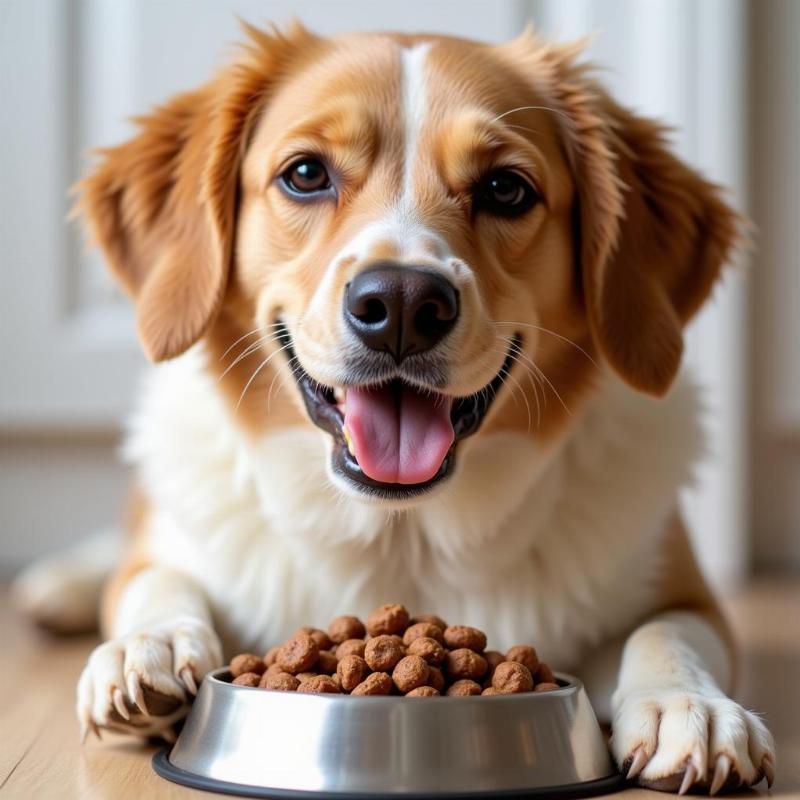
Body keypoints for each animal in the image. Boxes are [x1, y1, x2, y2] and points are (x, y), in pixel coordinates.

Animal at [12, 21, 776, 792]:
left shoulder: (684, 591)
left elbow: (668, 631)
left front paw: (687, 704)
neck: (401, 536)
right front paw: (151, 645)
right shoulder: (171, 551)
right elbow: (156, 579)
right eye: (305, 174)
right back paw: (60, 585)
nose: (404, 304)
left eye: (506, 188)